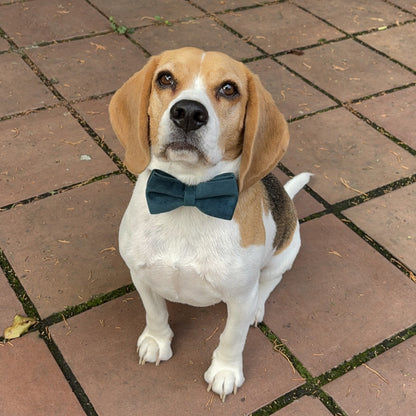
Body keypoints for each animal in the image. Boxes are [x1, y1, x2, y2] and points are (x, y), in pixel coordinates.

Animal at [109, 47, 310, 402]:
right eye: (165, 79)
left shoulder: (239, 296)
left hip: (285, 254)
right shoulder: (140, 274)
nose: (189, 112)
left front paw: (225, 372)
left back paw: (258, 308)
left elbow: (232, 337)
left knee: (268, 284)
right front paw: (156, 341)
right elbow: (155, 312)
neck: (188, 194)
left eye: (229, 89)